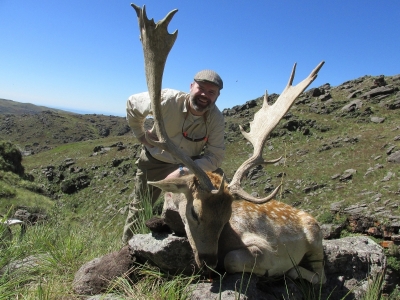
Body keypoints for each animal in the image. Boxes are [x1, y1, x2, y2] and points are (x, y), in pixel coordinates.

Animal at [133, 3, 326, 284]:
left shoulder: (263, 248)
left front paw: (271, 270)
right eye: (194, 213)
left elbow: (233, 258)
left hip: (315, 237)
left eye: (227, 219)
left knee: (322, 276)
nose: (209, 263)